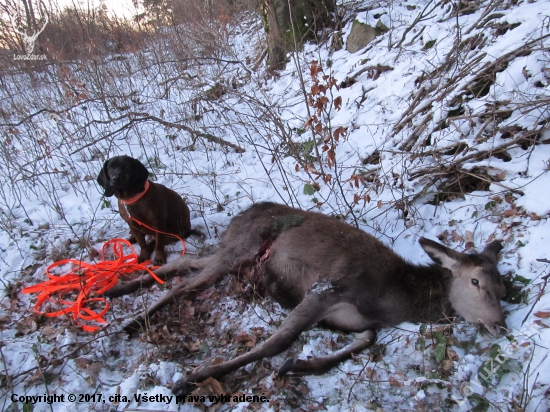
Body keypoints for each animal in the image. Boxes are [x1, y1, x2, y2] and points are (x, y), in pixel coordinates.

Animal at [104, 202, 508, 396]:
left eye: (502, 286)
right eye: (475, 281)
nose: (500, 325)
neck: (391, 302)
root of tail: (238, 215)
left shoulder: (355, 319)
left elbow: (367, 340)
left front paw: (297, 366)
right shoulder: (327, 289)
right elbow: (278, 342)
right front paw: (195, 377)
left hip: (234, 256)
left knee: (185, 263)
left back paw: (114, 291)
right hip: (241, 249)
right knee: (184, 286)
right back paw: (130, 319)